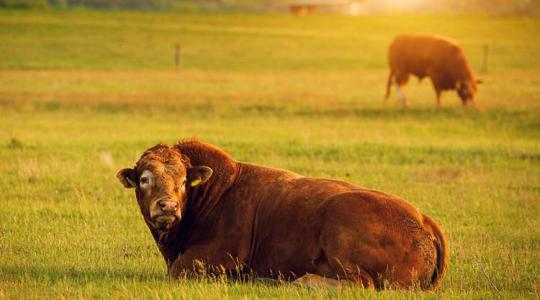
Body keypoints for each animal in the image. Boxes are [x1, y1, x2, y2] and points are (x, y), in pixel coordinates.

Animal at [117, 139, 448, 290]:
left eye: (184, 180)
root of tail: (422, 219)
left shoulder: (216, 257)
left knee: (361, 283)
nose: (168, 206)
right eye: (145, 179)